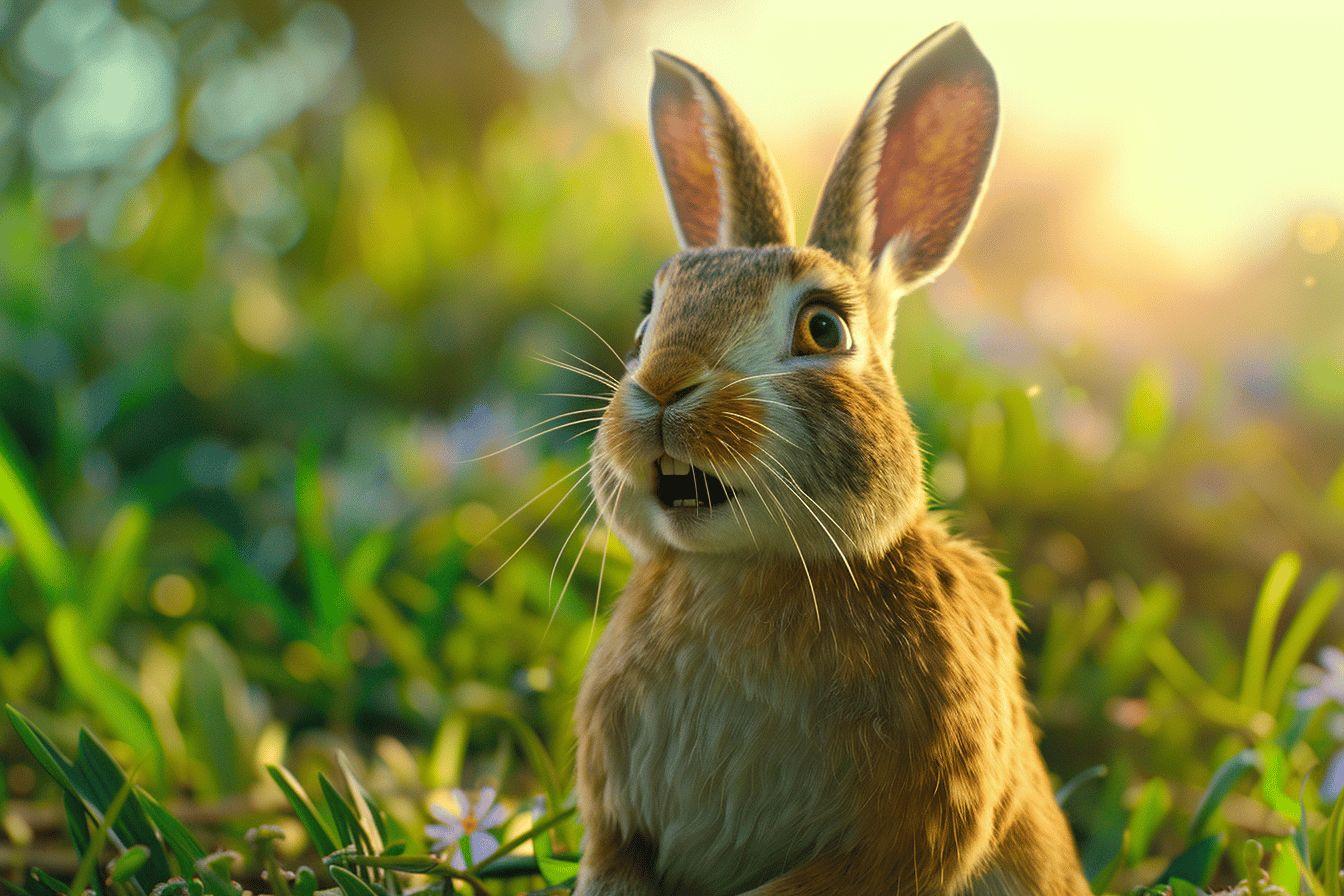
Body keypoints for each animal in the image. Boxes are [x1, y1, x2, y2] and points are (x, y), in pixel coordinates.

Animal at [574, 23, 1090, 896]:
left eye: (824, 330)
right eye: (647, 326)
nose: (663, 386)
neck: (750, 566)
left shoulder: (909, 828)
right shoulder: (618, 829)